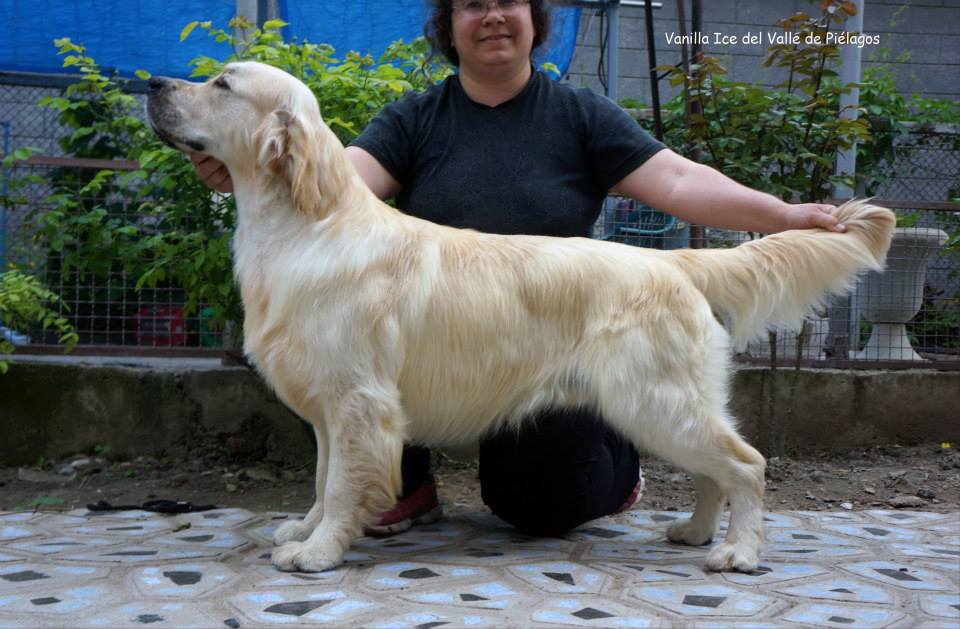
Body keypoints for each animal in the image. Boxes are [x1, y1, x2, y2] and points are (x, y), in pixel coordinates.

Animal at [147, 61, 895, 573]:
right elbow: (323, 479)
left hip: (654, 400)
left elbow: (340, 487)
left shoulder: (359, 399)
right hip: (665, 403)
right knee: (717, 469)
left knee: (745, 462)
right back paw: (695, 531)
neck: (309, 225)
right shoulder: (332, 407)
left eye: (222, 83)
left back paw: (738, 551)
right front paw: (304, 531)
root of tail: (677, 263)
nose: (150, 82)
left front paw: (321, 549)